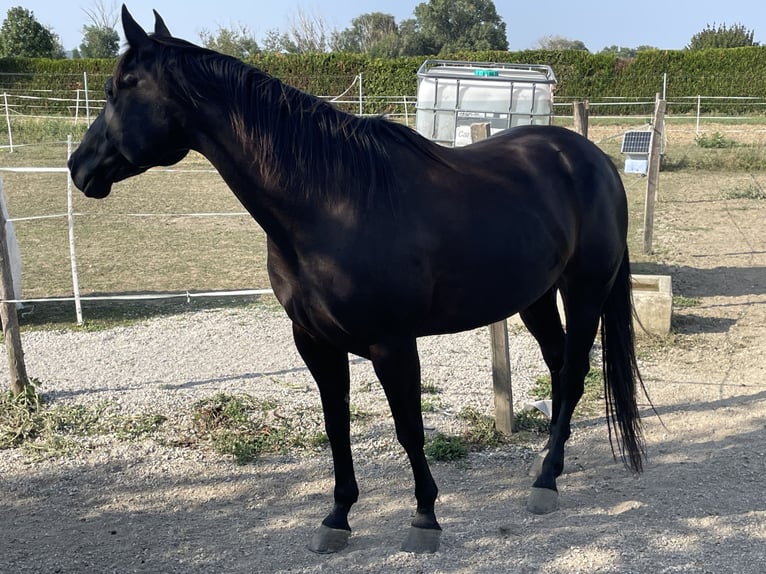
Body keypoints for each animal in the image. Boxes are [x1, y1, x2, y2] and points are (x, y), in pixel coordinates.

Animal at [69, 6, 652, 560]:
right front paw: (337, 518)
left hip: (584, 290)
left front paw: (425, 519)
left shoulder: (393, 345)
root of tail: (594, 160)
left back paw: (546, 482)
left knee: (574, 372)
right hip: (536, 297)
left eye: (117, 88)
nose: (79, 167)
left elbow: (408, 428)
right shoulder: (314, 343)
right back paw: (551, 466)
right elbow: (337, 425)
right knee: (558, 367)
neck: (330, 204)